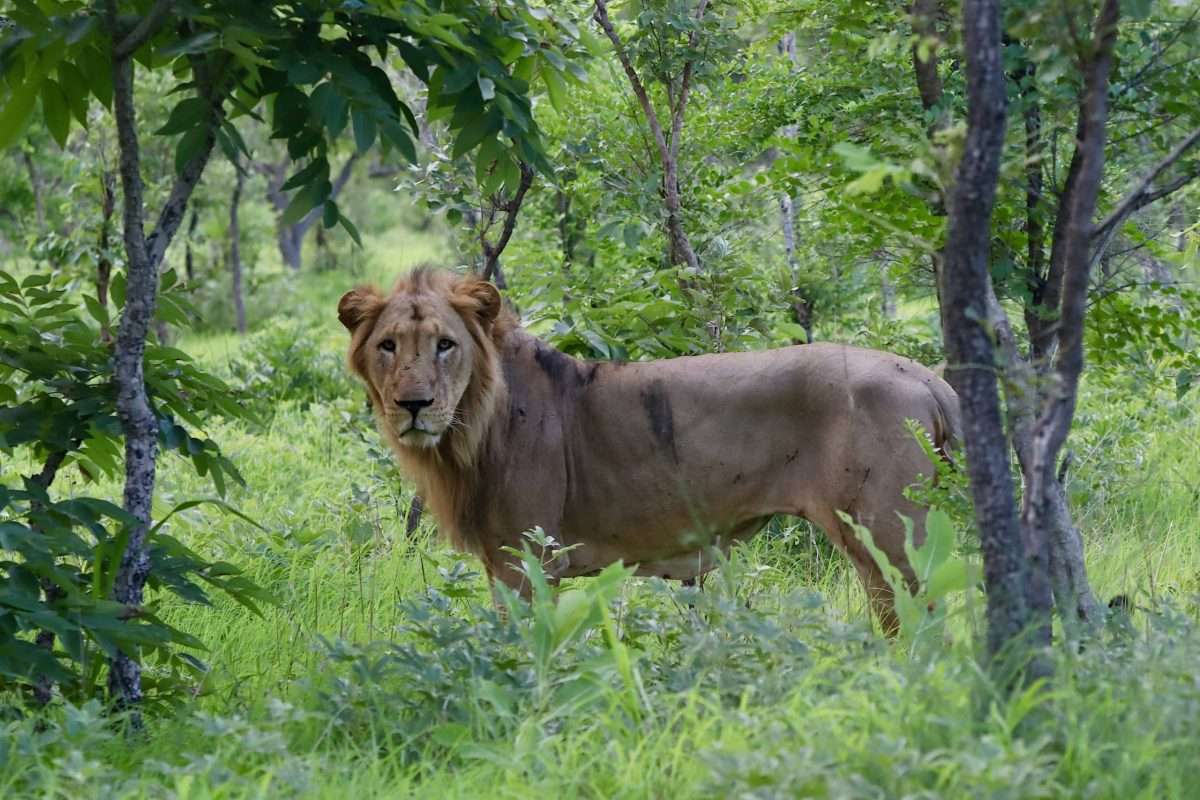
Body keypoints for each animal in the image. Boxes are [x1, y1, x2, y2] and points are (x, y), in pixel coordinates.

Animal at [338, 268, 961, 633]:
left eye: (445, 345)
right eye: (388, 346)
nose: (413, 405)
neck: (469, 431)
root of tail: (929, 378)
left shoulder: (528, 559)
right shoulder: (503, 563)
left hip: (890, 538)